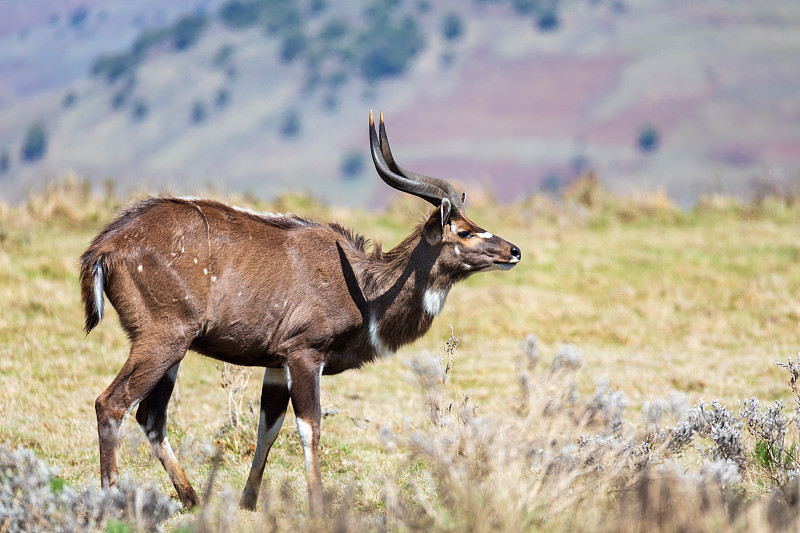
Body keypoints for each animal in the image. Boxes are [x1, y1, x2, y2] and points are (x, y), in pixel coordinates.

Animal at [79, 110, 520, 512]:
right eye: (463, 231)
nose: (514, 250)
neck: (364, 291)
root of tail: (104, 248)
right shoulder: (304, 353)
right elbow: (310, 427)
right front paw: (318, 505)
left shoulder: (276, 363)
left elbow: (268, 428)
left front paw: (248, 502)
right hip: (164, 338)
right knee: (112, 403)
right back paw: (113, 500)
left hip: (173, 348)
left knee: (150, 416)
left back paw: (192, 499)